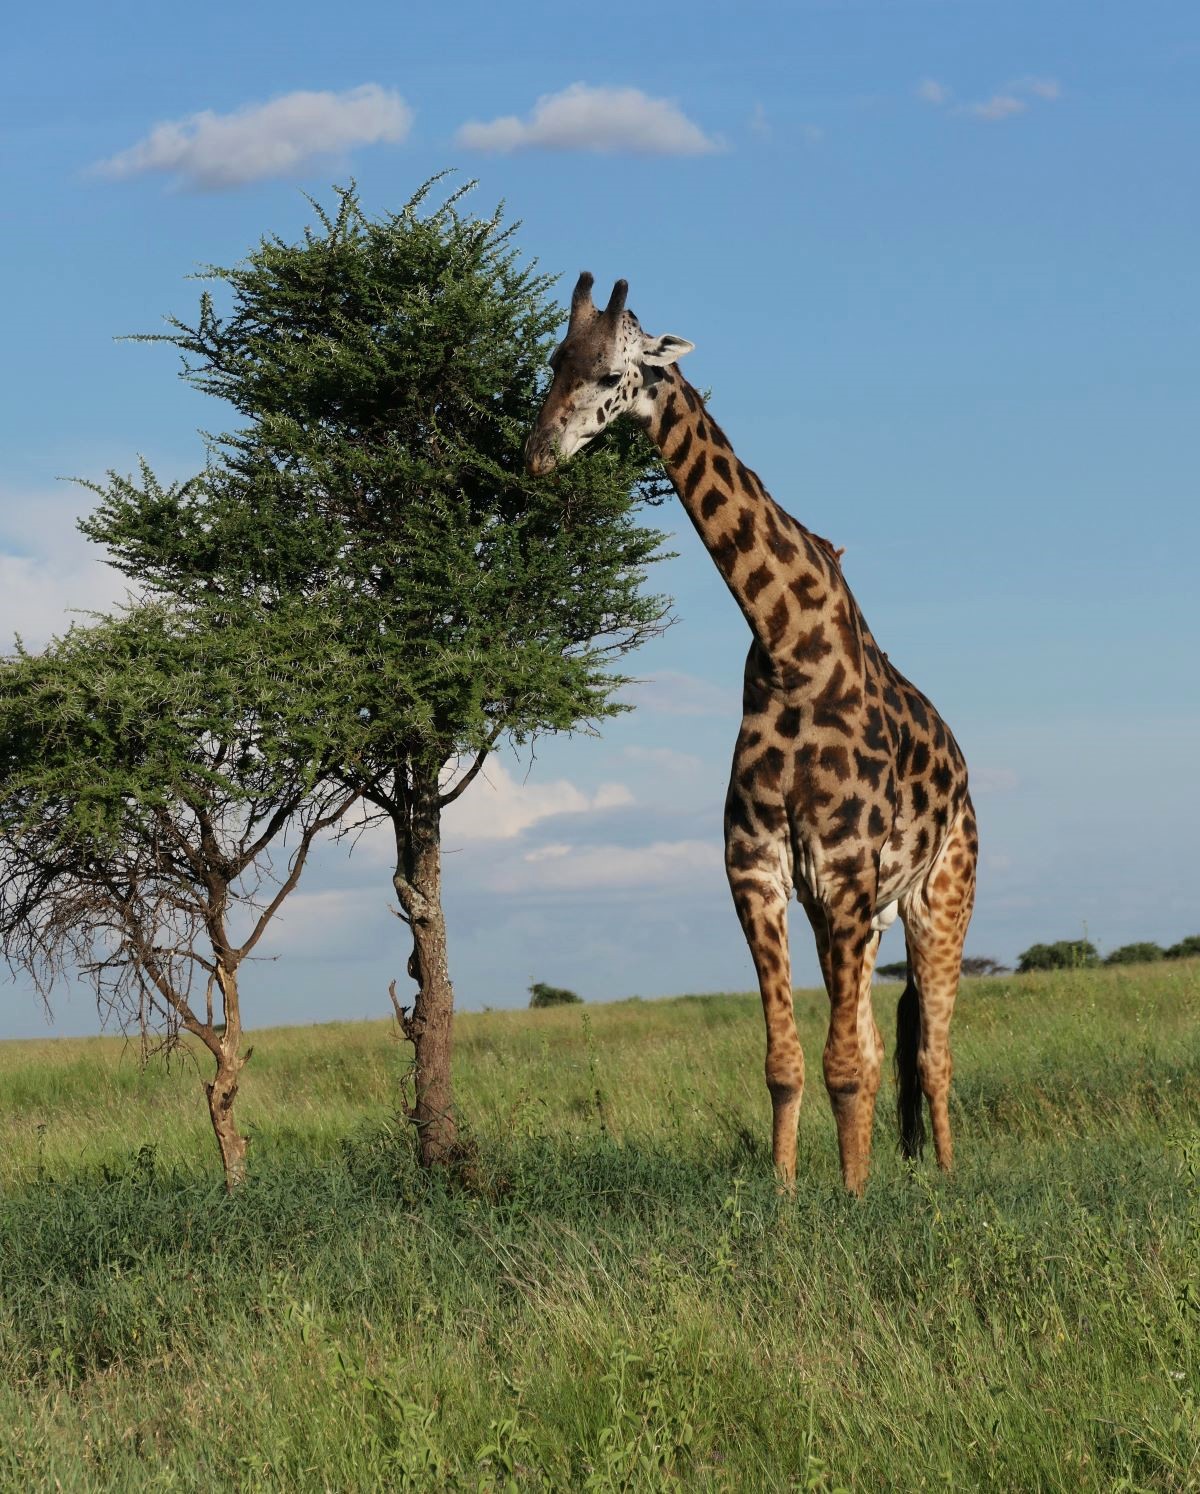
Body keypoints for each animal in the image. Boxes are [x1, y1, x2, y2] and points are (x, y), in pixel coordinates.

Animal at [526, 277, 974, 1189]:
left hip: (941, 894)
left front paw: (853, 1198)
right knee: (886, 1041)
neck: (787, 645)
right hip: (862, 913)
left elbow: (846, 1063)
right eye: (555, 360)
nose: (537, 453)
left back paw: (944, 1177)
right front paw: (790, 1192)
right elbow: (790, 1062)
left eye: (613, 372)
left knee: (934, 1052)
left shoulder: (843, 869)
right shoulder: (760, 869)